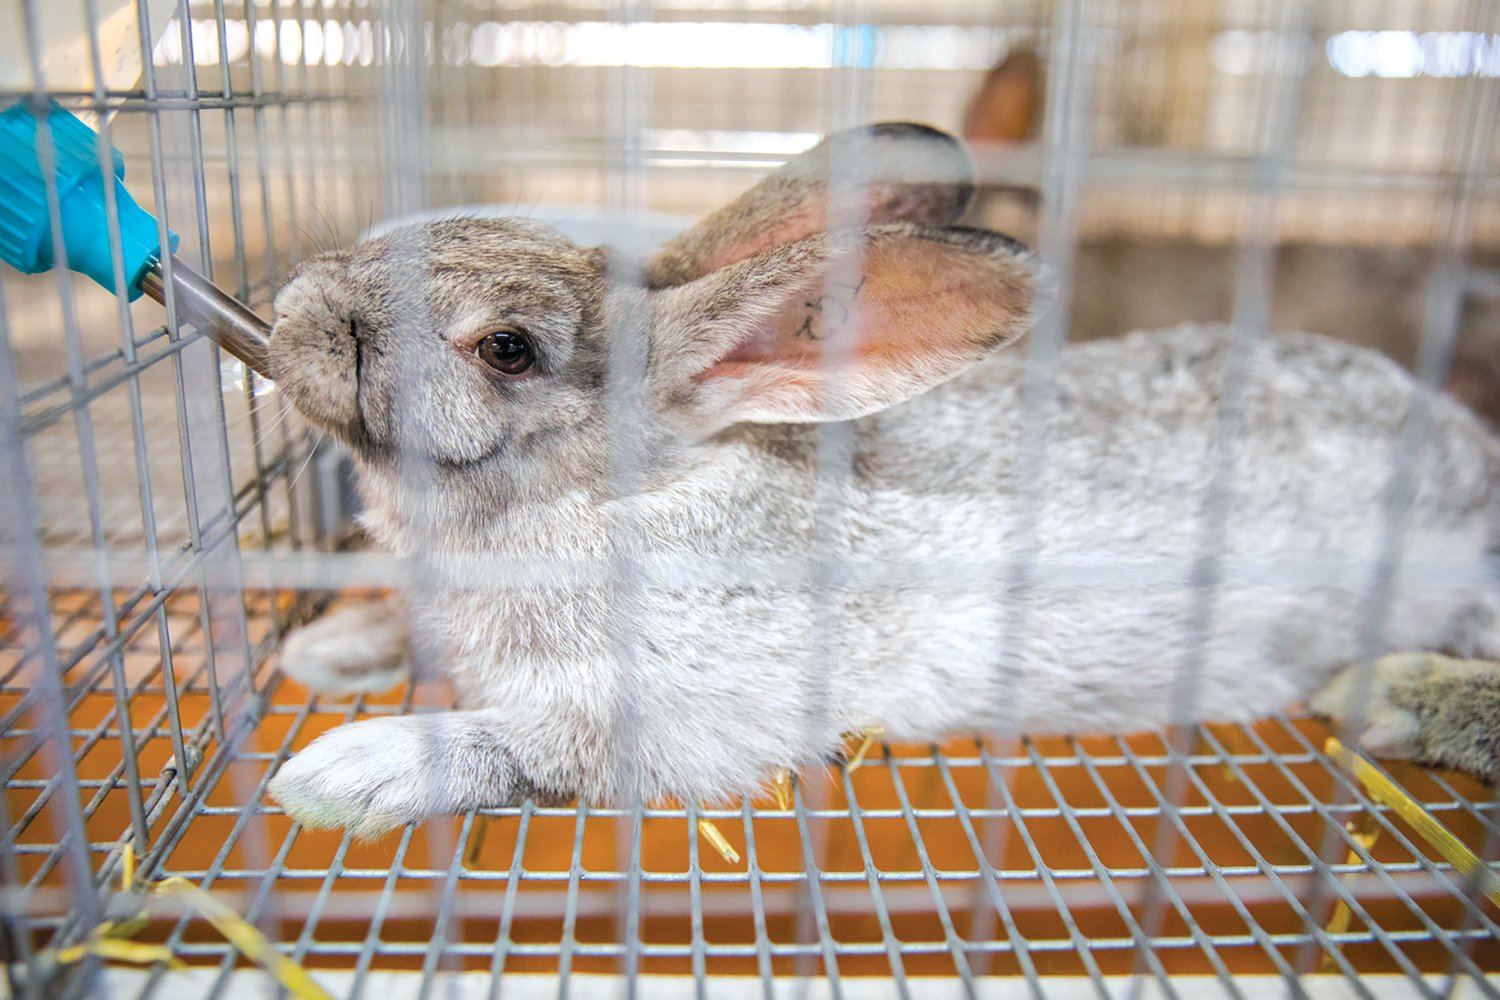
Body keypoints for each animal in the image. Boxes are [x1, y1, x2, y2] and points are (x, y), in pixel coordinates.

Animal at [265, 122, 1500, 839]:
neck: (618, 496)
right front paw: (329, 650)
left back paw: (1399, 691)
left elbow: (530, 746)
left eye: (506, 348)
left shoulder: (695, 713)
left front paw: (342, 771)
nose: (288, 310)